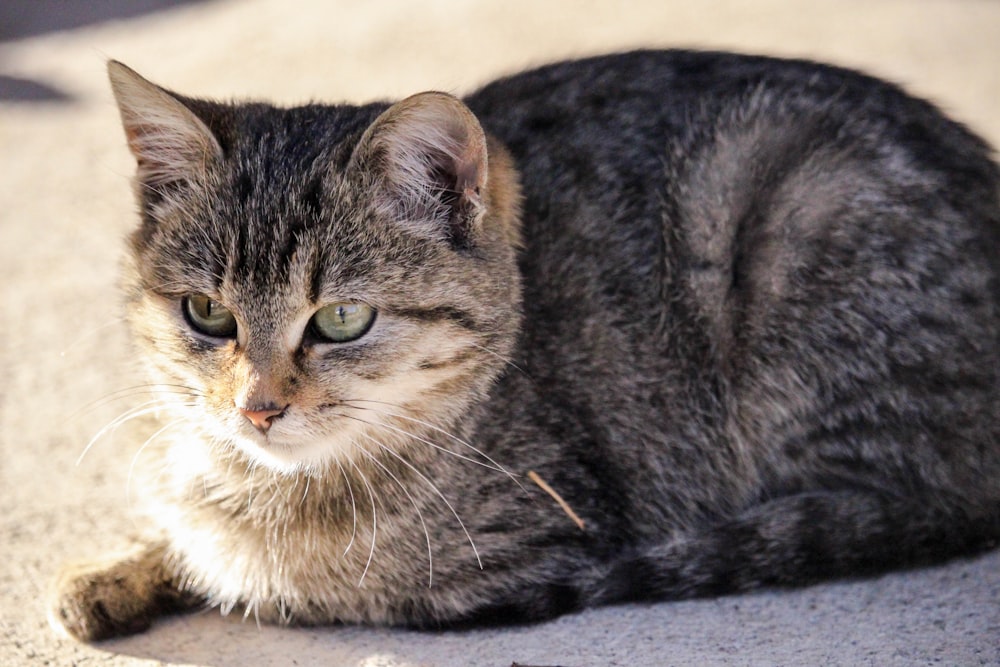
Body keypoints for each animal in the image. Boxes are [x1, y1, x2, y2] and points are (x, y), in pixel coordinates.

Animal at [52, 49, 1000, 640]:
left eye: (342, 319)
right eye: (206, 313)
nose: (257, 408)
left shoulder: (506, 550)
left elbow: (279, 581)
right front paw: (116, 571)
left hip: (788, 210)